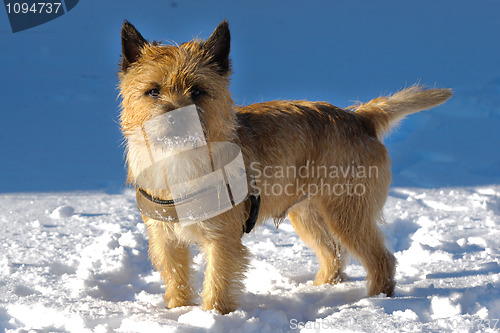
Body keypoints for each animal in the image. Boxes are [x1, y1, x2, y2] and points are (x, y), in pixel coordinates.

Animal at [118, 19, 454, 312]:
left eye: (198, 91)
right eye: (153, 91)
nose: (175, 119)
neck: (180, 160)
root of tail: (358, 117)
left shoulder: (222, 240)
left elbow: (217, 284)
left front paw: (211, 317)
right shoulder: (166, 239)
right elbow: (176, 279)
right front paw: (178, 313)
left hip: (346, 213)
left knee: (381, 258)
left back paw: (374, 304)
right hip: (307, 214)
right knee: (333, 254)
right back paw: (321, 289)